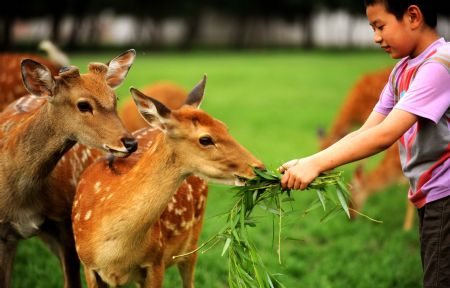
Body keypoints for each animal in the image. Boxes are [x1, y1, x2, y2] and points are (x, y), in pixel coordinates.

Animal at [71, 75, 264, 286]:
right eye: (205, 139)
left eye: (224, 127)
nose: (259, 167)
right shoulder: (88, 266)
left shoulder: (156, 260)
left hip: (192, 240)